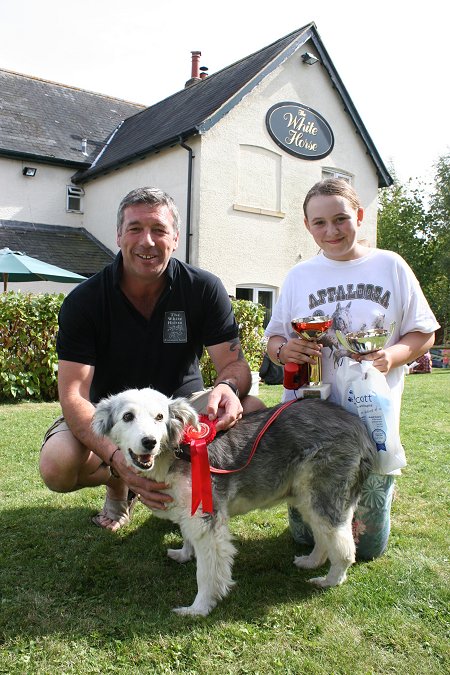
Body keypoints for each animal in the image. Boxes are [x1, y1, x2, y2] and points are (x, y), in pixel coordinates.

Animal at [94, 388, 376, 616]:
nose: (149, 442)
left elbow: (207, 573)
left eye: (160, 417)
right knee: (323, 537)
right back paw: (311, 561)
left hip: (323, 495)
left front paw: (198, 608)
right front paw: (184, 554)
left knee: (343, 545)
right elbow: (186, 537)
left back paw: (331, 580)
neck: (177, 452)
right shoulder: (189, 510)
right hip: (306, 497)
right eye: (127, 417)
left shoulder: (208, 523)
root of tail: (357, 425)